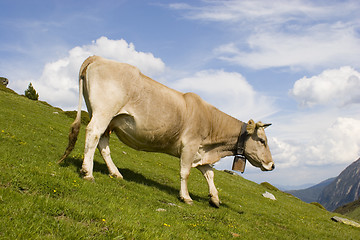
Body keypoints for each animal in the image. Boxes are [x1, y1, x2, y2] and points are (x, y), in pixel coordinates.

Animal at [59, 55, 274, 206]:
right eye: (262, 141)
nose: (272, 165)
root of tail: (99, 57)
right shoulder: (190, 145)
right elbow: (185, 172)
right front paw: (186, 197)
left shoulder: (200, 151)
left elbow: (210, 174)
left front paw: (214, 198)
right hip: (103, 112)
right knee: (93, 134)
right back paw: (88, 172)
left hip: (107, 118)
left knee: (103, 143)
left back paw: (115, 173)